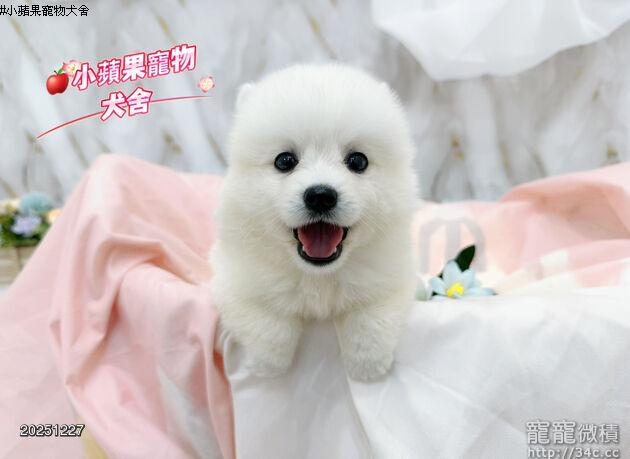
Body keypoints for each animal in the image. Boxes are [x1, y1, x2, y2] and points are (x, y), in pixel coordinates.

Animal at [210, 63, 418, 381]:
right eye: (285, 161)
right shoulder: (233, 279)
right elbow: (266, 318)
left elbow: (371, 316)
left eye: (358, 161)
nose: (320, 196)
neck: (318, 277)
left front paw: (368, 367)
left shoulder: (393, 276)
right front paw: (268, 366)